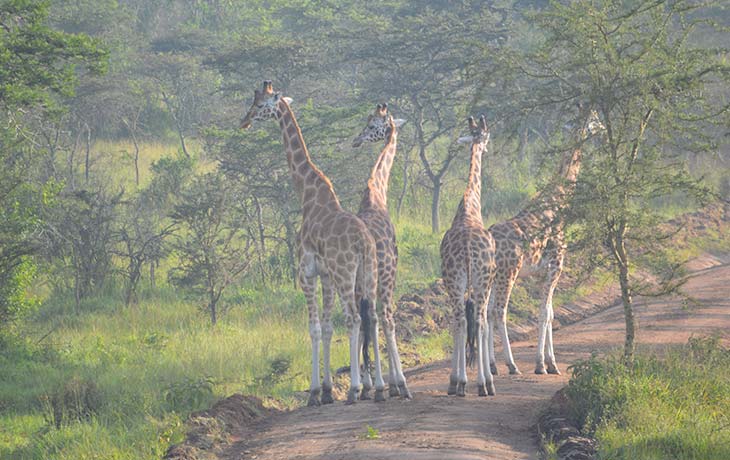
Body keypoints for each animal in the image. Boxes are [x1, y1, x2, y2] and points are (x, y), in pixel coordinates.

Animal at [239, 81, 386, 404]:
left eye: (259, 105)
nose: (243, 121)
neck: (307, 195)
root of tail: (363, 242)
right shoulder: (326, 276)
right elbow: (328, 327)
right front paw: (329, 389)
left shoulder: (306, 272)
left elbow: (314, 328)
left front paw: (316, 392)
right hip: (368, 274)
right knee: (372, 317)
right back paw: (381, 387)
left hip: (346, 274)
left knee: (354, 318)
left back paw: (355, 389)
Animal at [484, 106, 604, 376]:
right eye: (595, 118)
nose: (602, 130)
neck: (558, 200)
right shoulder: (555, 268)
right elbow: (544, 314)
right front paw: (542, 364)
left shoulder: (542, 274)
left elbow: (549, 313)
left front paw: (551, 363)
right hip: (508, 274)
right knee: (499, 311)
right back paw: (512, 365)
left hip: (492, 276)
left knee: (485, 313)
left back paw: (493, 366)